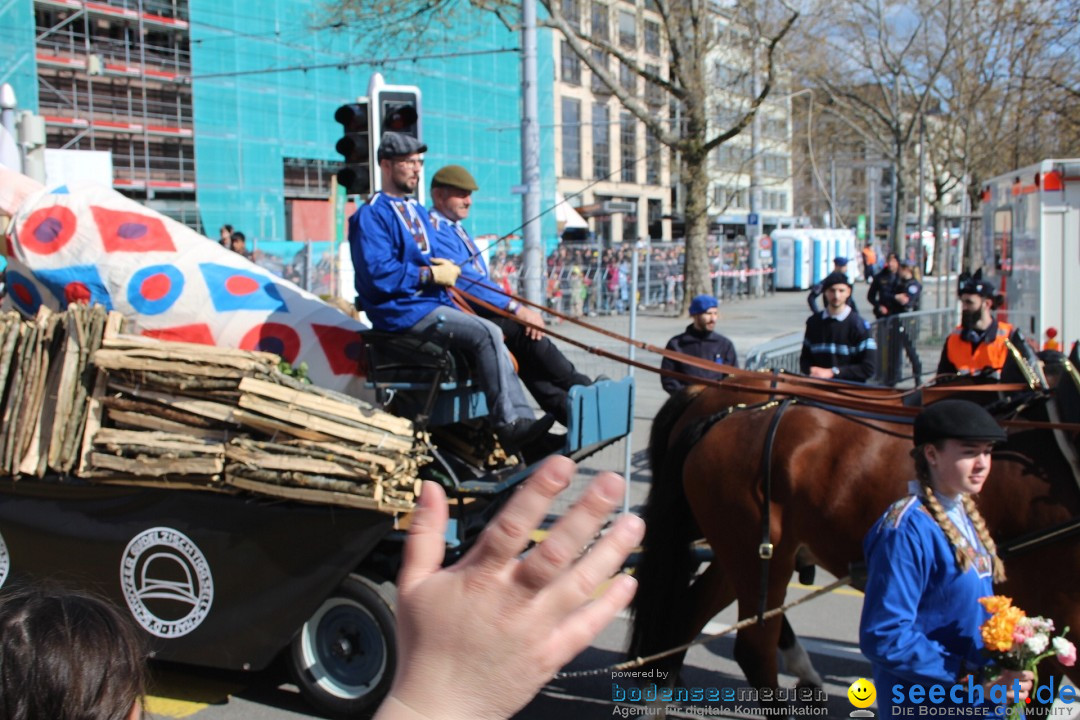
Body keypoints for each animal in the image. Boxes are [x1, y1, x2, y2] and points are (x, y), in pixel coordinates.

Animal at [630, 382, 1080, 716]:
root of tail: (726, 412)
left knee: (687, 615)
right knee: (753, 649)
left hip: (738, 553)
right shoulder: (1058, 608)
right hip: (760, 556)